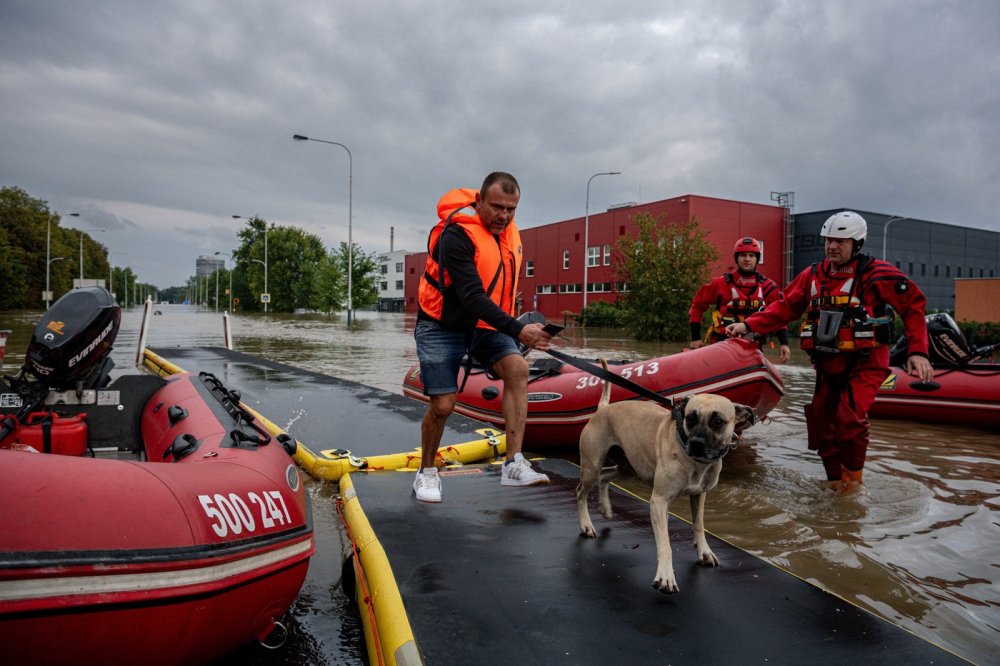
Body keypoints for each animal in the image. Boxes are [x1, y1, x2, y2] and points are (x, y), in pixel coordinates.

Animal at [576, 368, 752, 592]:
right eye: (690, 418)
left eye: (718, 421)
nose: (696, 443)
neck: (692, 458)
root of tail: (604, 409)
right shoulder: (659, 501)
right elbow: (665, 543)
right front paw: (666, 576)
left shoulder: (699, 494)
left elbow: (699, 524)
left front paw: (704, 552)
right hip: (591, 467)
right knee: (581, 492)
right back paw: (586, 525)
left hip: (628, 468)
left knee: (605, 476)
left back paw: (605, 508)